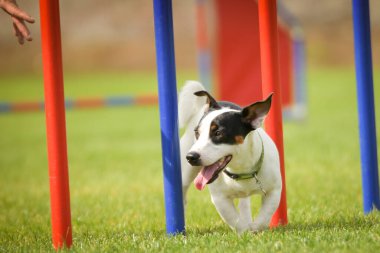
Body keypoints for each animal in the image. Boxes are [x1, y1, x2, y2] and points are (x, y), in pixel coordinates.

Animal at [179, 80, 282, 233]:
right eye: (197, 133)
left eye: (218, 133)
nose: (191, 157)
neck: (241, 170)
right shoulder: (220, 199)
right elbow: (235, 221)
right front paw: (245, 231)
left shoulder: (274, 191)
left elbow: (265, 215)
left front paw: (255, 228)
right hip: (185, 174)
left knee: (244, 203)